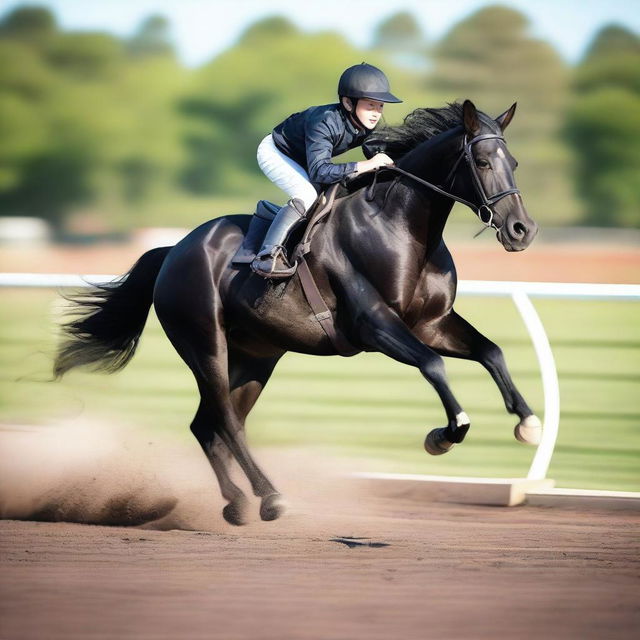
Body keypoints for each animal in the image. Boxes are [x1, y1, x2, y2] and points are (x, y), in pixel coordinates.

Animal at [57, 100, 544, 524]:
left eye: (515, 163)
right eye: (481, 162)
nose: (522, 230)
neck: (402, 228)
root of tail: (174, 249)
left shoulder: (433, 324)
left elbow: (491, 352)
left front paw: (528, 423)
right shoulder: (375, 325)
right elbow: (434, 365)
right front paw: (446, 434)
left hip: (256, 356)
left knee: (208, 425)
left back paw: (237, 502)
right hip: (205, 345)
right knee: (225, 422)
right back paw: (269, 496)